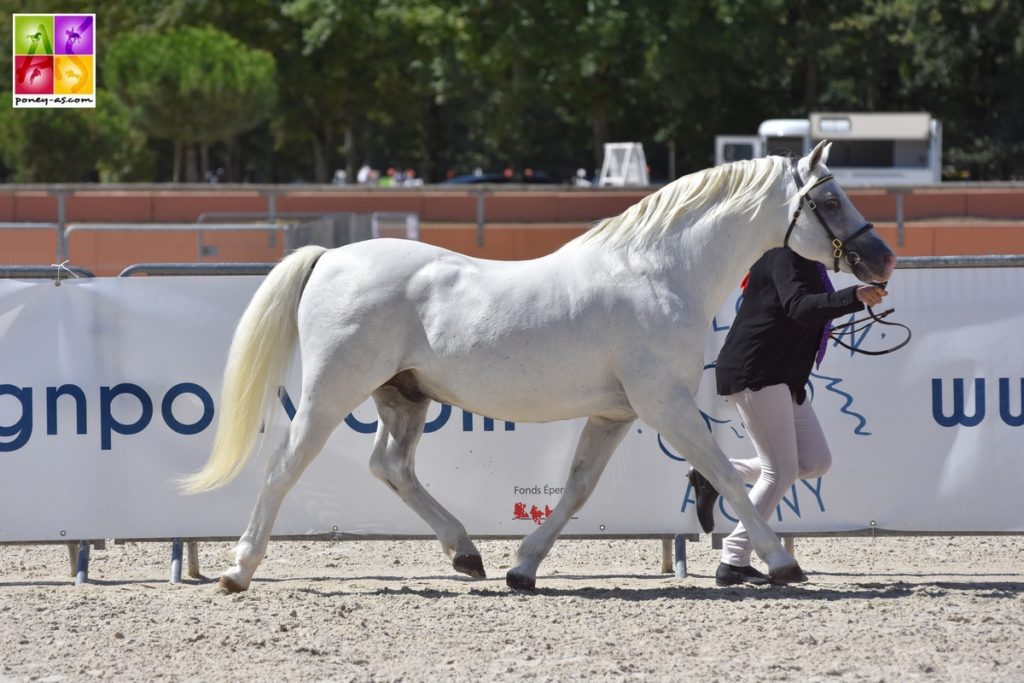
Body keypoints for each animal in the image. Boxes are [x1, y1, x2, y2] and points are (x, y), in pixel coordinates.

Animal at [186, 143, 897, 593]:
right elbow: (724, 474)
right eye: (831, 200)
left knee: (391, 467)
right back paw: (237, 570)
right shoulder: (665, 405)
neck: (658, 274)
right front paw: (781, 563)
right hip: (333, 392)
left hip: (403, 396)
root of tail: (331, 256)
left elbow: (578, 490)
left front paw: (522, 569)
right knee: (285, 465)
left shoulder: (615, 413)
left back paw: (467, 554)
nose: (883, 260)